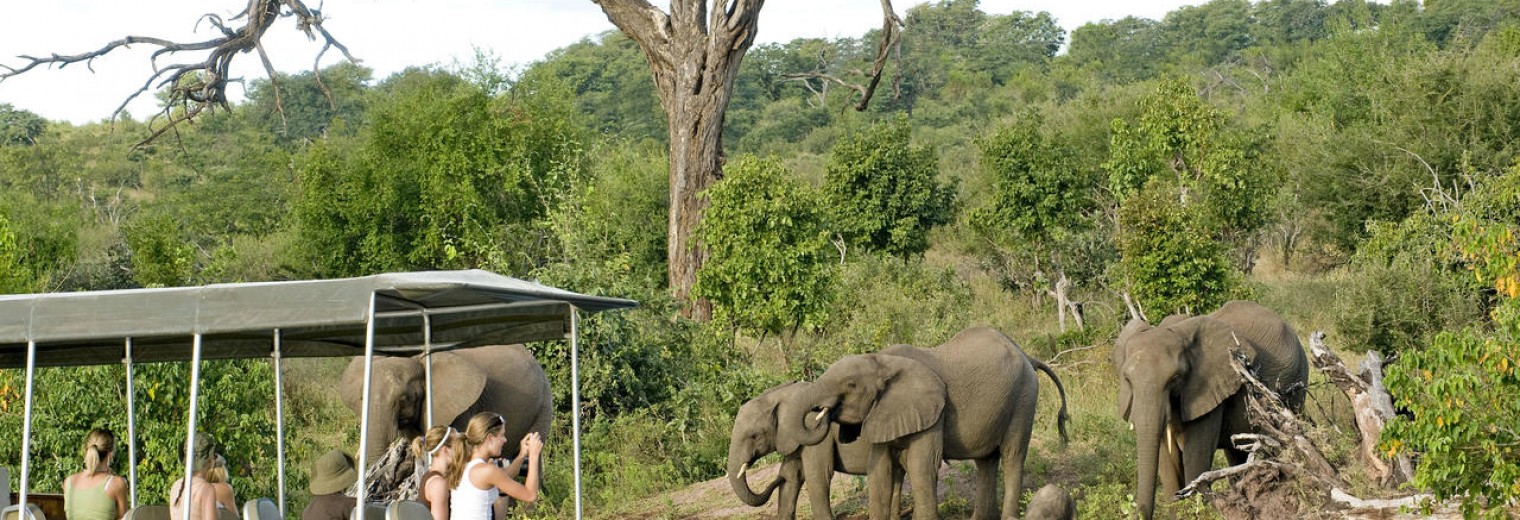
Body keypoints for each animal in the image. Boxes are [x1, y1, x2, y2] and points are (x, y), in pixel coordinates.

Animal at [726, 377, 899, 520]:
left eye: (754, 436)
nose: (777, 479)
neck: (782, 395)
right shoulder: (792, 439)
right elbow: (793, 474)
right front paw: (786, 477)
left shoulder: (814, 433)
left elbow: (818, 475)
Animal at [784, 328, 1070, 520]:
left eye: (851, 385)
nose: (823, 413)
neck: (882, 361)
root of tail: (1027, 355)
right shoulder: (884, 413)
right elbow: (880, 471)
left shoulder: (934, 412)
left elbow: (921, 466)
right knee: (986, 461)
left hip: (1023, 398)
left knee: (1012, 455)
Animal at [1112, 301, 1313, 520]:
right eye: (1127, 379)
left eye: (1175, 378)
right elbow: (1168, 467)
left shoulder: (1208, 388)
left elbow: (1195, 464)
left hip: (1297, 382)